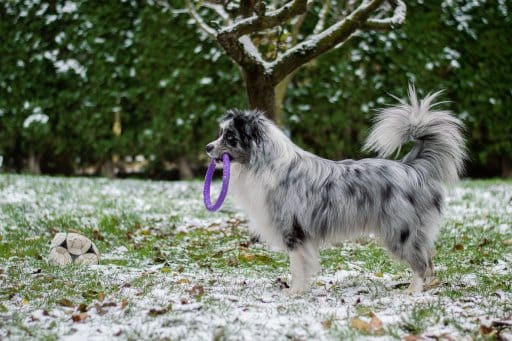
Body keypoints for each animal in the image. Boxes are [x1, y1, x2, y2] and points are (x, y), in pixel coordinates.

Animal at [206, 86, 466, 294]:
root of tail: (411, 168)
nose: (207, 147)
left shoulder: (293, 230)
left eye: (230, 136)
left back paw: (413, 292)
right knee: (428, 260)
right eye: (221, 134)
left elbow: (297, 266)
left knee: (421, 263)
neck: (265, 163)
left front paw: (293, 293)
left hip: (401, 231)